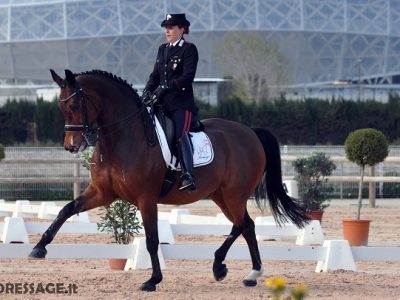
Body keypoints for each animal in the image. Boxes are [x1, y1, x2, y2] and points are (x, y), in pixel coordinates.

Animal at [28, 69, 310, 290]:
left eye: (76, 106)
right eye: (60, 108)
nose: (71, 146)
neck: (123, 137)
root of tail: (250, 132)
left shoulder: (146, 198)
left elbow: (152, 240)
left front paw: (152, 280)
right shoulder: (103, 192)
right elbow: (66, 209)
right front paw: (39, 248)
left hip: (234, 194)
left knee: (241, 225)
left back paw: (220, 266)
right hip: (221, 195)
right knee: (247, 226)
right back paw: (251, 273)